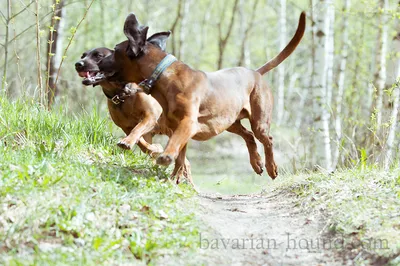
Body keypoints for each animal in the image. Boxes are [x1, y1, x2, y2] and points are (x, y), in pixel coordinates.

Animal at [96, 11, 306, 180]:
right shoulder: (177, 127)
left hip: (259, 121)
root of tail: (255, 72)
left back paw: (271, 167)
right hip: (229, 121)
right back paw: (256, 163)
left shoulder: (188, 123)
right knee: (248, 136)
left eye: (115, 50)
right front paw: (174, 178)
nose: (96, 64)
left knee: (267, 139)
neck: (163, 76)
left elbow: (174, 145)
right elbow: (180, 159)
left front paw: (165, 156)